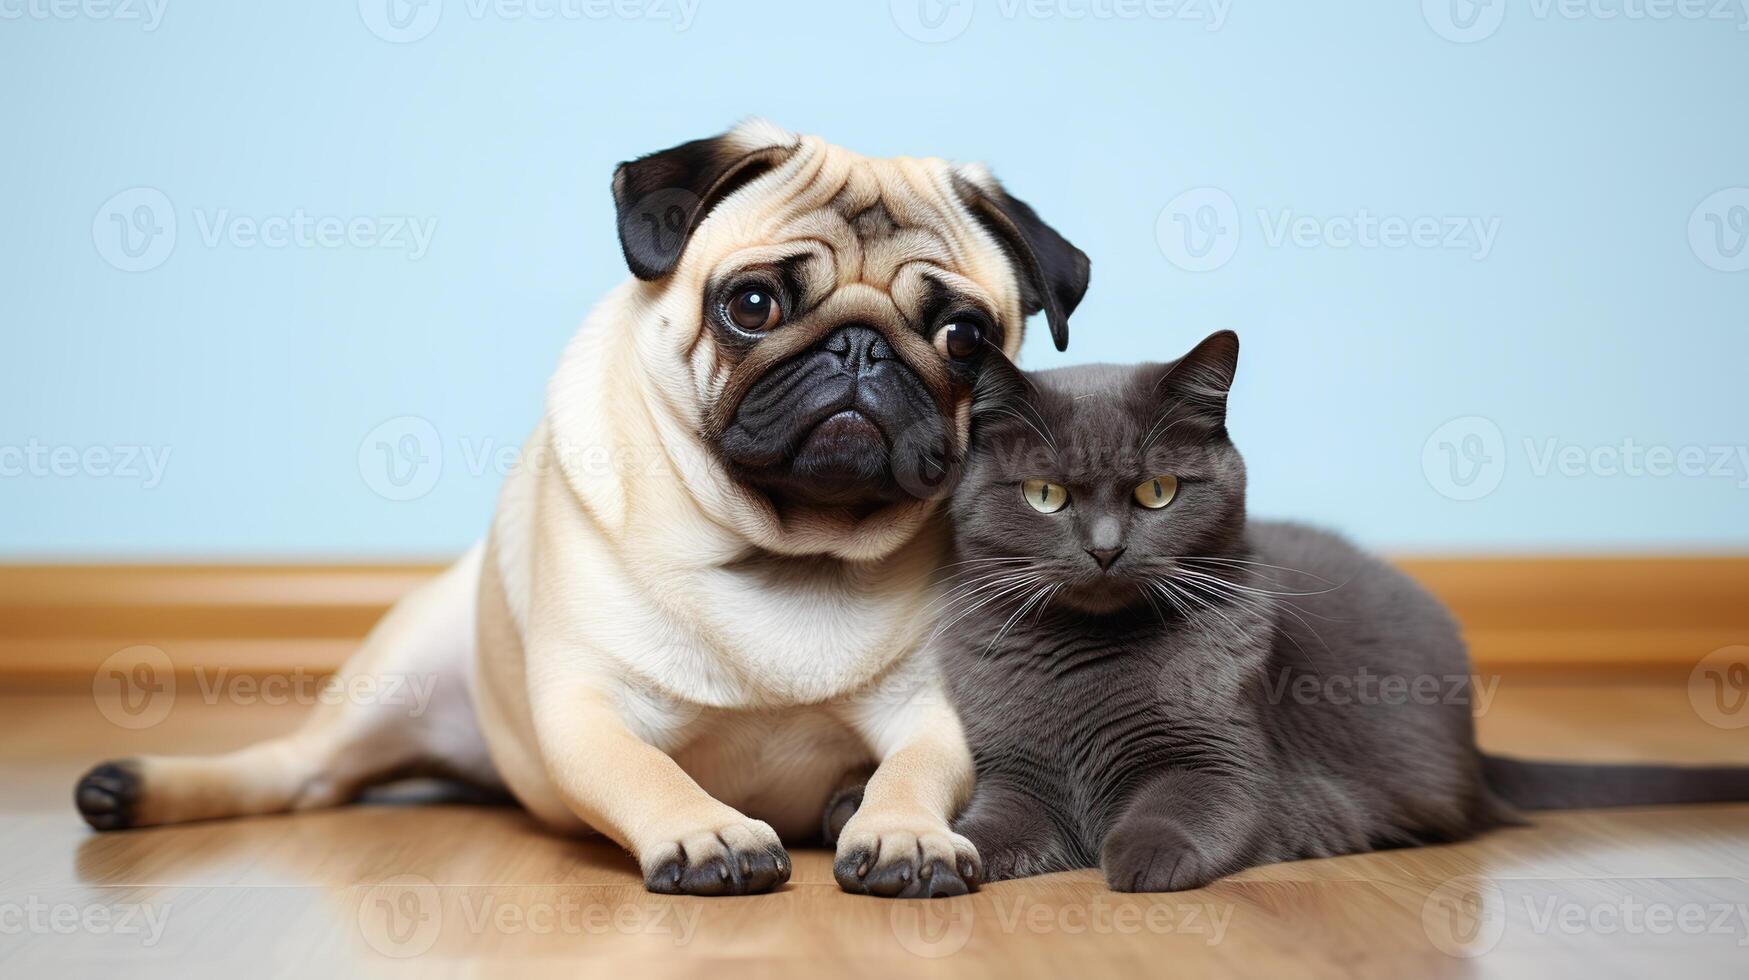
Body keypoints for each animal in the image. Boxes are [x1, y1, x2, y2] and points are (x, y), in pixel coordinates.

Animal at [82, 120, 1098, 896]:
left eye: (963, 337)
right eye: (752, 305)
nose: (860, 348)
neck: (787, 550)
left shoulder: (932, 709)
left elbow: (915, 770)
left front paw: (900, 829)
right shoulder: (588, 704)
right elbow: (641, 767)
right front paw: (709, 831)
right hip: (398, 672)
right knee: (302, 774)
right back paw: (137, 789)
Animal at [825, 330, 1742, 896]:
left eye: (1157, 491)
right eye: (1046, 495)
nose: (1107, 548)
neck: (1087, 660)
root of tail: (1476, 753)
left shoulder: (1224, 763)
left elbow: (1182, 808)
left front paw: (1138, 860)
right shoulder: (1016, 769)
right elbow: (991, 823)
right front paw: (938, 852)